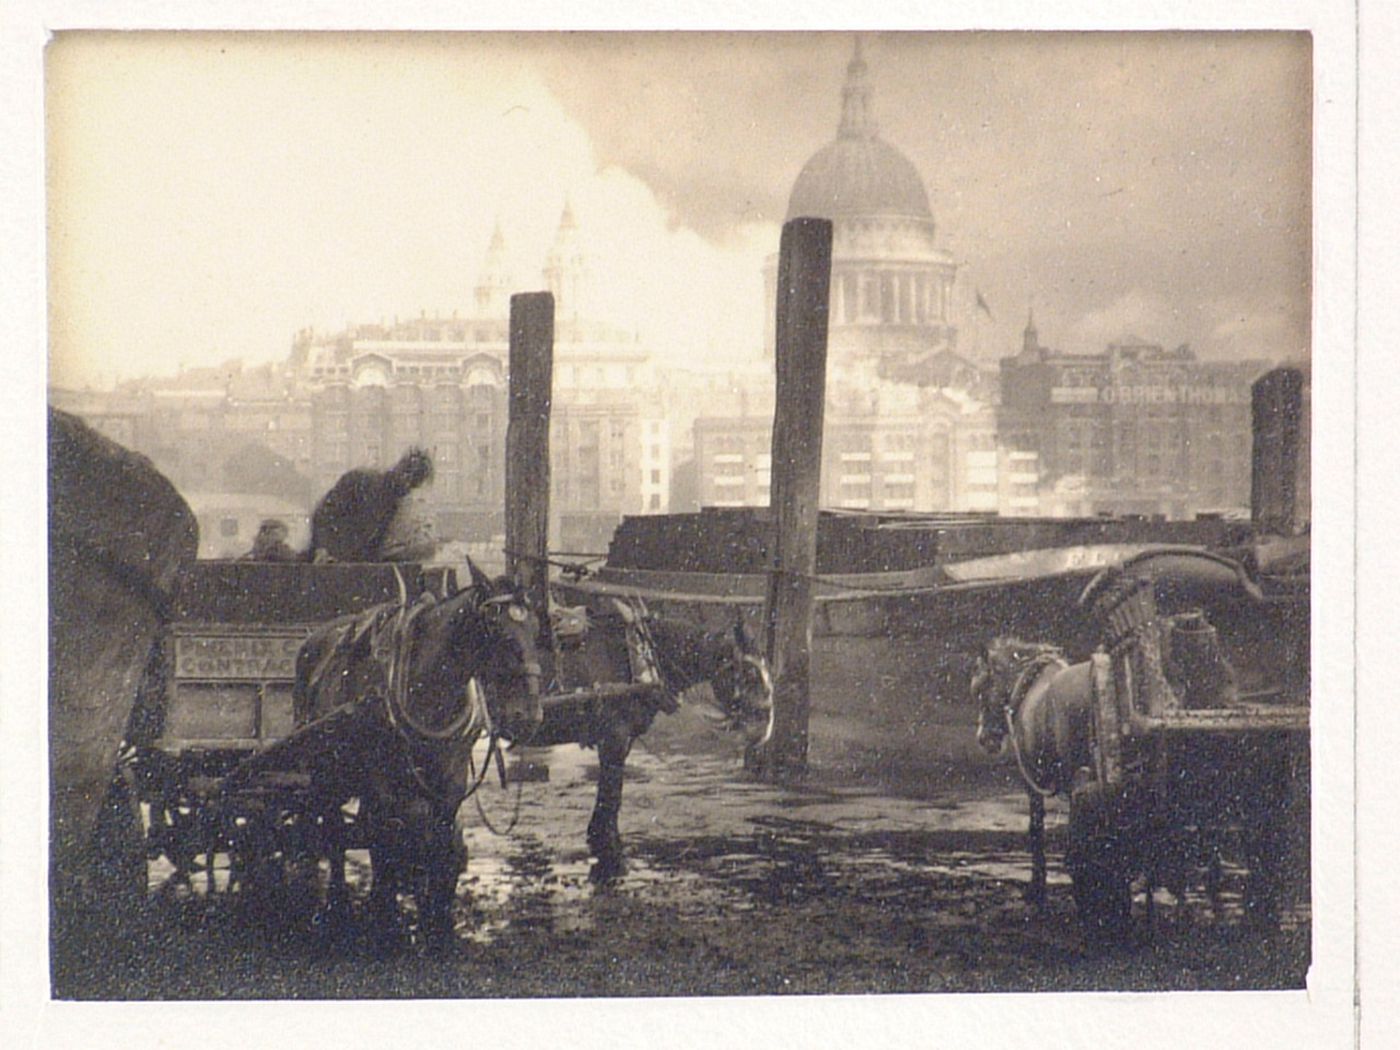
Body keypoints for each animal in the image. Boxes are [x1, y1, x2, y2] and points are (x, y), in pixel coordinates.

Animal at [291, 562, 540, 940]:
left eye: (537, 631)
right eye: (498, 632)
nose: (529, 717)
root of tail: (311, 642)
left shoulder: (450, 784)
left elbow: (438, 846)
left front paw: (436, 915)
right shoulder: (384, 787)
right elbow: (389, 845)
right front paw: (386, 912)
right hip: (327, 773)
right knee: (335, 832)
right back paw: (339, 901)